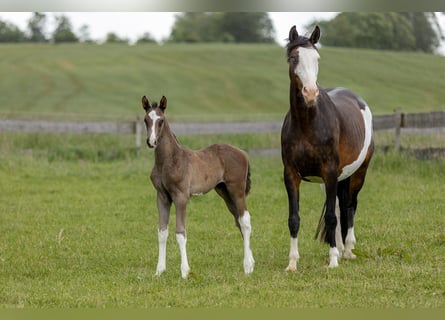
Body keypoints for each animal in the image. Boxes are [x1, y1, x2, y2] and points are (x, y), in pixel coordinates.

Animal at [141, 94, 253, 278]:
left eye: (161, 120)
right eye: (146, 120)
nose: (151, 141)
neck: (169, 160)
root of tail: (243, 153)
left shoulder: (181, 197)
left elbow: (180, 233)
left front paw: (185, 271)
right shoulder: (162, 197)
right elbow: (162, 232)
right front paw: (159, 270)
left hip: (236, 190)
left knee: (245, 221)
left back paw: (248, 267)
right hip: (224, 192)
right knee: (238, 221)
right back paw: (251, 262)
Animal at [280, 25, 374, 270]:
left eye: (317, 59)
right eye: (293, 58)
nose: (310, 93)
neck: (308, 124)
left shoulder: (330, 172)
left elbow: (331, 217)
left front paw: (333, 261)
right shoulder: (291, 174)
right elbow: (294, 219)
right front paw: (292, 263)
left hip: (358, 173)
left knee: (349, 205)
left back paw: (347, 250)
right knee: (340, 207)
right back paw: (340, 249)